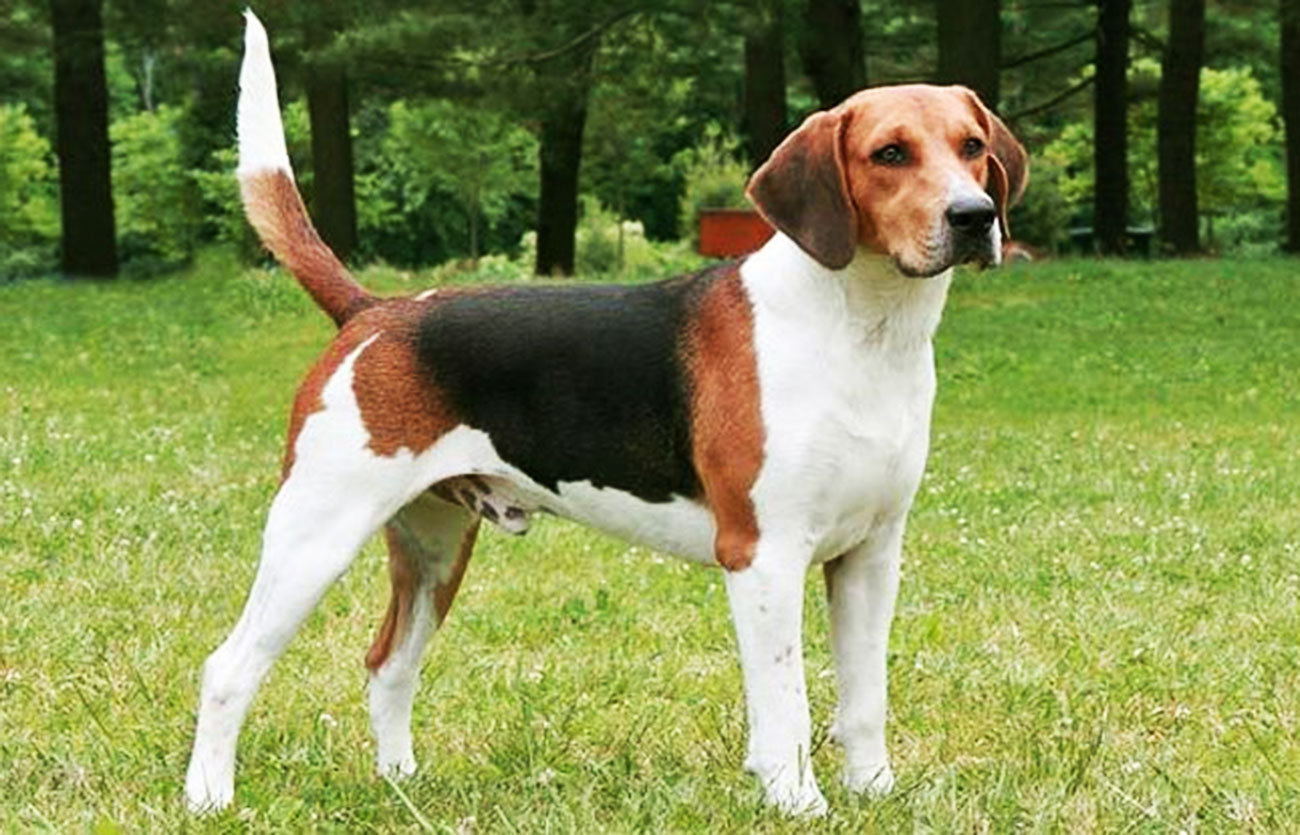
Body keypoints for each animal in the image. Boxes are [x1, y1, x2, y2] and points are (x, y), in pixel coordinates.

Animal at [185, 9, 1024, 816]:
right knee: (229, 667)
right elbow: (785, 703)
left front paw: (874, 789)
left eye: (972, 146)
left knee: (389, 663)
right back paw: (209, 798)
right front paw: (796, 799)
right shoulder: (764, 554)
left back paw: (400, 785)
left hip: (434, 546)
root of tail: (375, 311)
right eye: (890, 153)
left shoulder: (871, 555)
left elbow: (863, 698)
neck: (861, 327)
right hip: (316, 533)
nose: (974, 215)